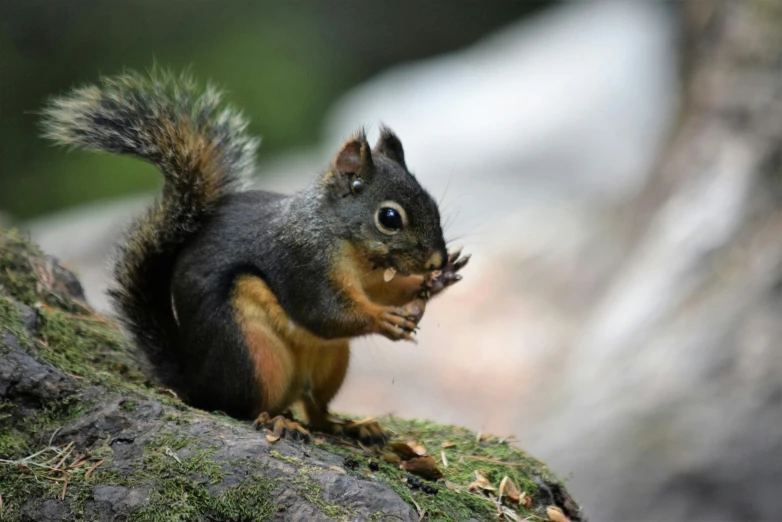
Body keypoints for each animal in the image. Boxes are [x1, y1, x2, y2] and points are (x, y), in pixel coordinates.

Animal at [41, 70, 472, 442]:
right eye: (389, 218)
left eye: (432, 202)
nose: (435, 260)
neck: (345, 243)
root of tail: (196, 382)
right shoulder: (300, 263)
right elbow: (325, 312)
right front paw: (384, 318)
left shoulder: (368, 280)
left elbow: (384, 292)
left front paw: (437, 280)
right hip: (253, 354)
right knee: (244, 407)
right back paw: (275, 420)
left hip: (331, 361)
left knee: (315, 408)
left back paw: (348, 426)